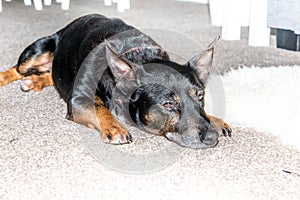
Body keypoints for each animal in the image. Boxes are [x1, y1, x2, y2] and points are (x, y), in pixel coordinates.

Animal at [0, 14, 232, 148]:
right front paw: (114, 127)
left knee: (49, 74)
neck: (138, 55)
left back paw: (33, 82)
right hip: (35, 52)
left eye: (200, 96)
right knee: (18, 69)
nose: (212, 138)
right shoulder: (78, 99)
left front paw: (215, 119)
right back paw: (7, 77)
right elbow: (99, 106)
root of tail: (63, 30)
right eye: (168, 104)